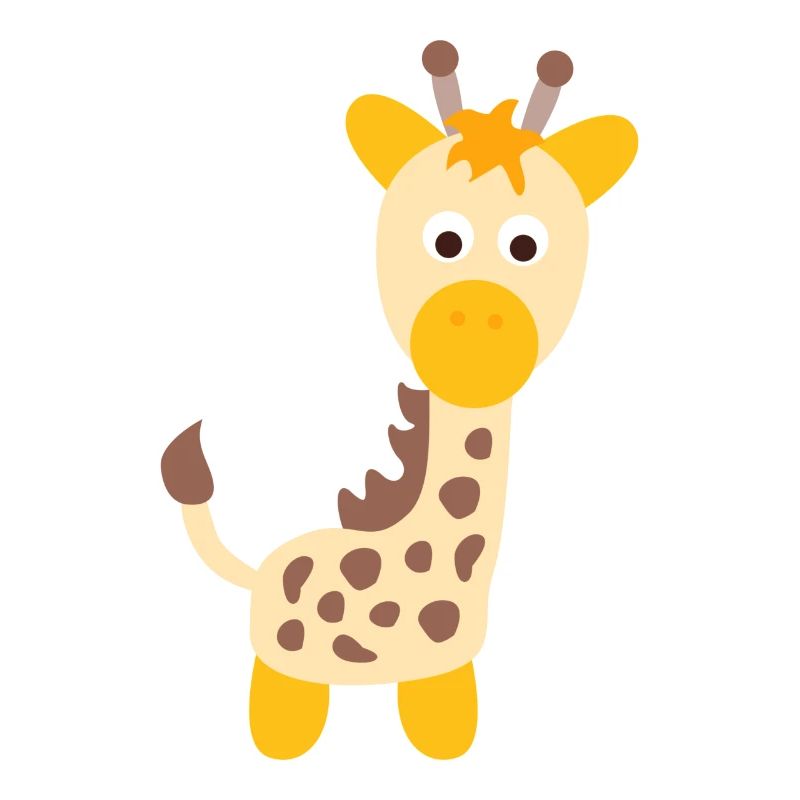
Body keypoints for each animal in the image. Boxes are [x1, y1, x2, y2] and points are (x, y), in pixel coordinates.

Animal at [161, 40, 637, 760]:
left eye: (527, 245)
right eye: (445, 239)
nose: (477, 318)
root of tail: (264, 566)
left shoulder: (447, 668)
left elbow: (443, 726)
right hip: (279, 660)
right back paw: (282, 743)